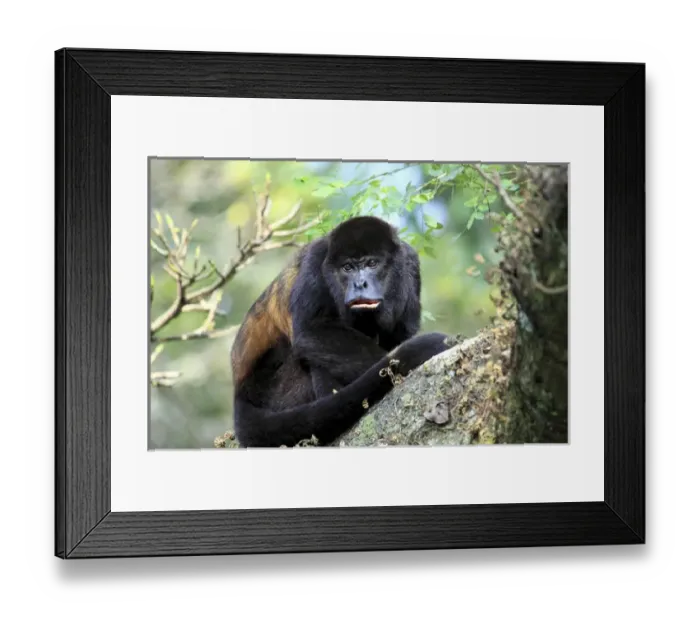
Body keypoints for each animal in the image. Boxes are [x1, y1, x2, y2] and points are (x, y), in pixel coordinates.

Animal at [230, 215, 450, 448]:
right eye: (347, 268)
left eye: (372, 264)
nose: (360, 284)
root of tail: (240, 393)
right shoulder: (316, 259)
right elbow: (312, 330)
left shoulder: (410, 261)